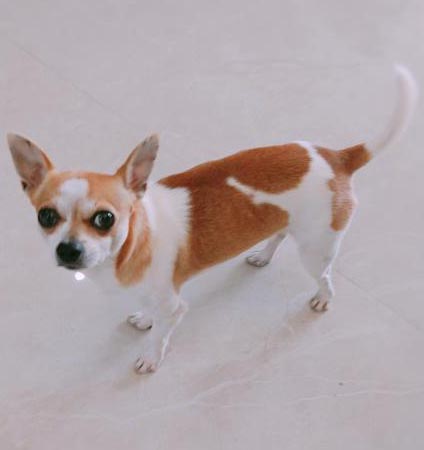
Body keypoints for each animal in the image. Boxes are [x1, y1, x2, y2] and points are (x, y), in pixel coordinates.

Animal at [7, 65, 417, 374]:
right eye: (46, 216)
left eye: (105, 218)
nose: (68, 250)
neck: (130, 246)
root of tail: (338, 157)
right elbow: (150, 312)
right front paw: (144, 317)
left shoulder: (174, 306)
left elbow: (161, 333)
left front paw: (150, 357)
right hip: (290, 221)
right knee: (279, 234)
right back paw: (262, 255)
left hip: (315, 250)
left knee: (327, 277)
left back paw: (321, 298)